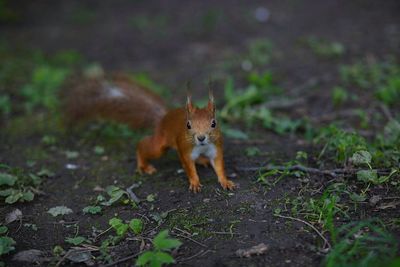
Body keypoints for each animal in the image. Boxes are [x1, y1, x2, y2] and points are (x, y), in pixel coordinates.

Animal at [63, 73, 234, 194]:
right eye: (188, 125)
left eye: (214, 123)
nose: (201, 137)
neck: (202, 147)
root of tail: (163, 118)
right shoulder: (186, 150)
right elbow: (189, 167)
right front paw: (195, 182)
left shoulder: (216, 148)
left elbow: (219, 166)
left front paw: (225, 181)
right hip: (160, 146)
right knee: (143, 145)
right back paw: (143, 165)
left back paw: (202, 160)